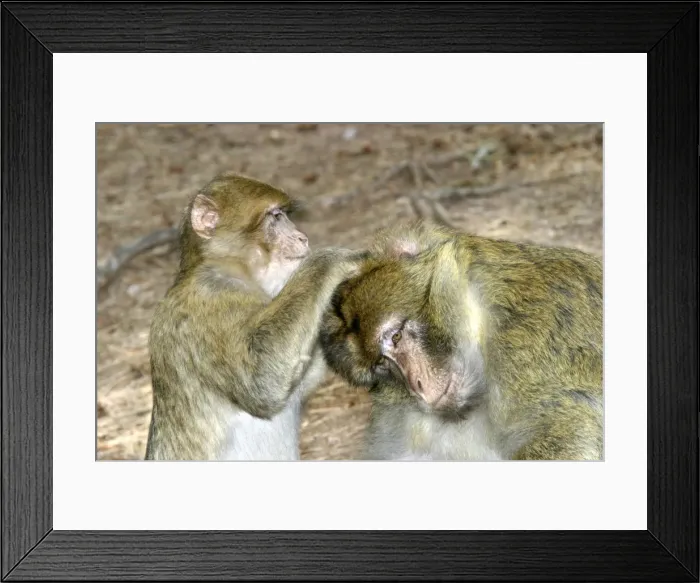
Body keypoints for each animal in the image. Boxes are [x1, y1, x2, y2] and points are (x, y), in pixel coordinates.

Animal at [144, 172, 364, 461]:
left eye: (284, 214)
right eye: (275, 216)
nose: (302, 237)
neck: (233, 270)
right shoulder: (210, 302)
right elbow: (261, 382)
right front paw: (331, 259)